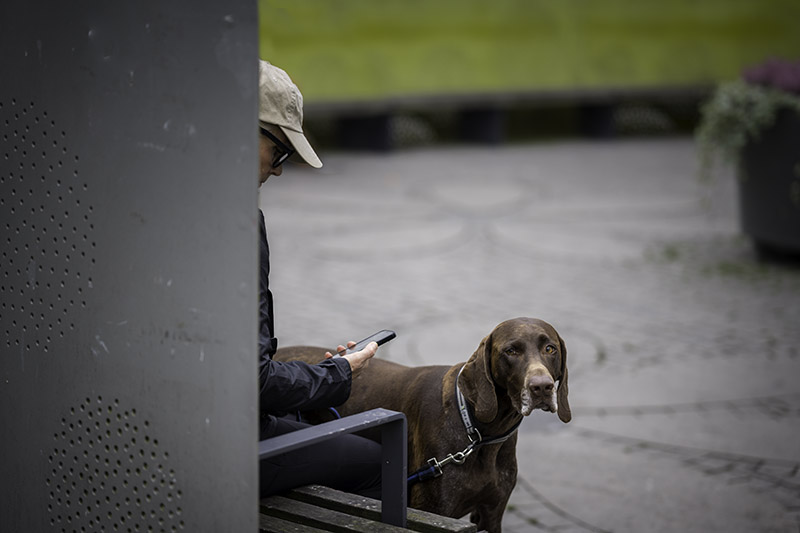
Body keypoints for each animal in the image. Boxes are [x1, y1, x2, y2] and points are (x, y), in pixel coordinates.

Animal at [276, 318, 568, 528]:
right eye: (511, 351)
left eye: (549, 348)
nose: (541, 387)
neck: (480, 436)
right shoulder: (434, 508)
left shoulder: (491, 514)